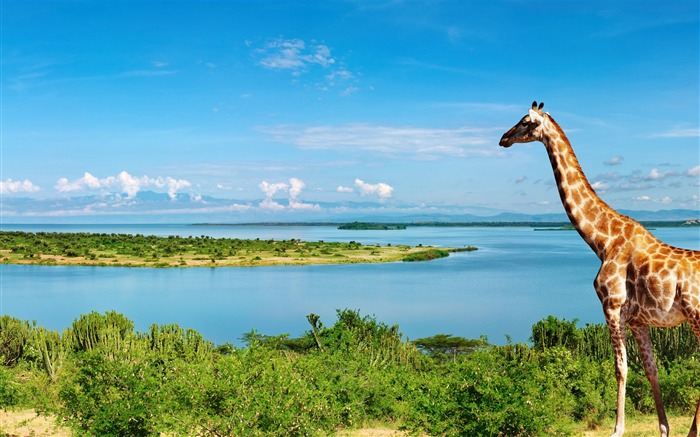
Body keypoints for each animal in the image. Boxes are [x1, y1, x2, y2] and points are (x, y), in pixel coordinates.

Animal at [498, 101, 700, 436]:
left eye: (525, 121)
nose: (503, 138)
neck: (603, 240)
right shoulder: (638, 320)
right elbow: (651, 369)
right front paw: (664, 428)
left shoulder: (612, 306)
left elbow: (620, 368)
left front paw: (617, 429)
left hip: (696, 316)